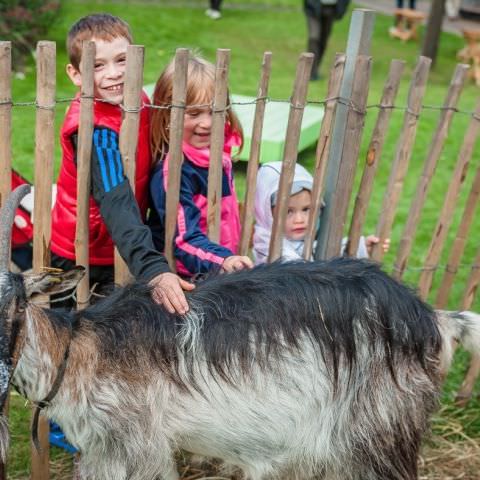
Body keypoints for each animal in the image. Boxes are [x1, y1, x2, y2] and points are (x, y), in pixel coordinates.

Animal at [0, 185, 480, 480]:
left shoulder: (135, 446)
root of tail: (432, 319)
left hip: (380, 431)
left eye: (18, 302)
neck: (79, 350)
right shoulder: (104, 450)